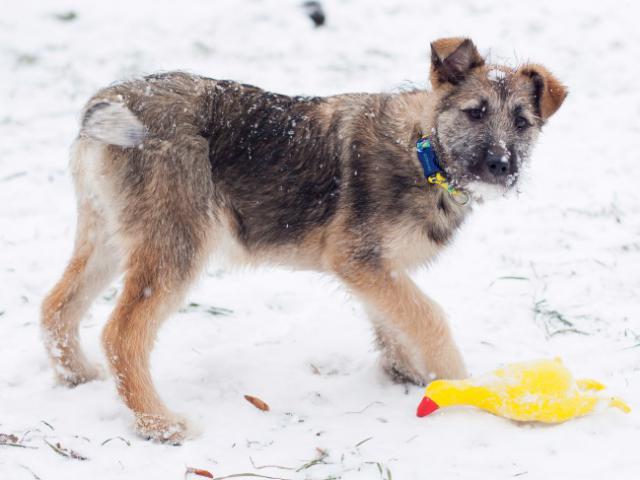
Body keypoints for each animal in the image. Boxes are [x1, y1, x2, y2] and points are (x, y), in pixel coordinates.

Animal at [41, 37, 564, 442]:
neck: (423, 151)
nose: (501, 165)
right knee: (122, 334)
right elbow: (428, 317)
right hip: (175, 245)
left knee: (57, 305)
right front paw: (460, 385)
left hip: (109, 237)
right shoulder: (358, 259)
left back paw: (76, 375)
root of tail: (111, 100)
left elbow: (394, 321)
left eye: (522, 123)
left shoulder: (377, 271)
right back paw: (159, 424)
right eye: (475, 113)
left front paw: (408, 374)